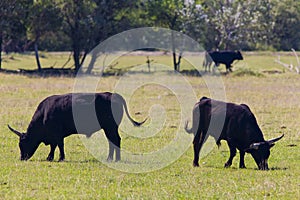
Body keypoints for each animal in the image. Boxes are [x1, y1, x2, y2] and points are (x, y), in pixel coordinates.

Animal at [8, 92, 146, 161]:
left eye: (23, 143)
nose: (22, 158)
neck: (44, 113)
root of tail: (112, 94)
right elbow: (55, 145)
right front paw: (52, 157)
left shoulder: (57, 134)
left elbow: (58, 145)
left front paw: (57, 158)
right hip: (110, 128)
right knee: (113, 141)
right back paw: (112, 158)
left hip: (110, 128)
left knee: (115, 140)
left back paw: (114, 159)